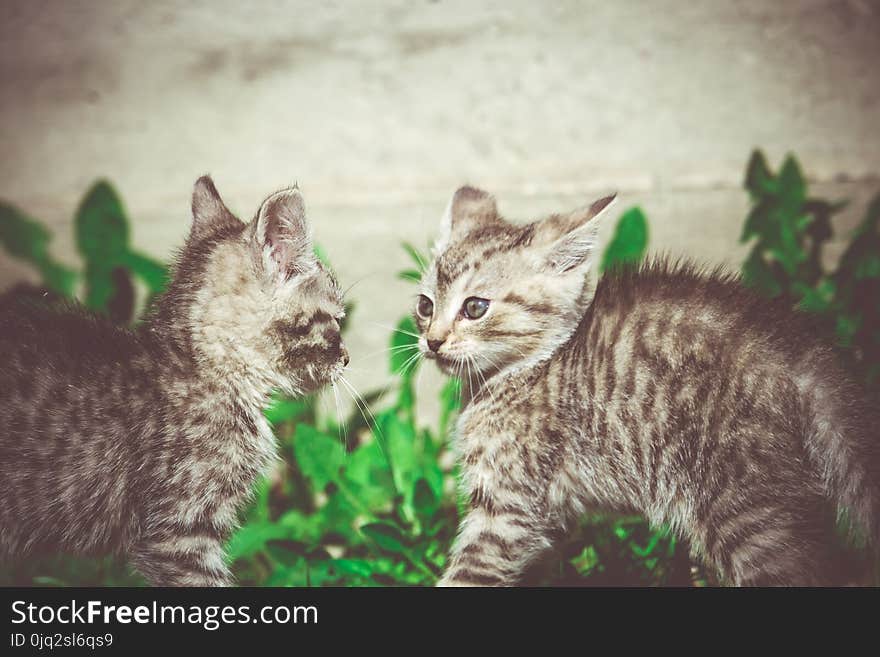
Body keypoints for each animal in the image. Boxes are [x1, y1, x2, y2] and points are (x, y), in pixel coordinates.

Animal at [418, 183, 880, 584]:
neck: (520, 372)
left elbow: (468, 575)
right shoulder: (547, 522)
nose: (433, 341)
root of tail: (805, 355)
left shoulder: (506, 508)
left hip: (744, 505)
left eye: (475, 307)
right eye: (424, 306)